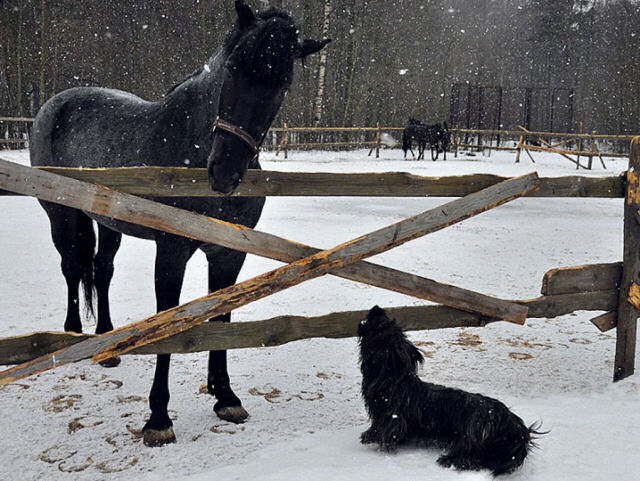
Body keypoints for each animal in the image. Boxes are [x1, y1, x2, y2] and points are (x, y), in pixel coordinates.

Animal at [28, 1, 330, 448]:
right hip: (62, 215)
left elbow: (221, 319)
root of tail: (54, 104)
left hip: (109, 221)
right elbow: (167, 321)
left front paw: (226, 397)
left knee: (102, 269)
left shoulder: (228, 253)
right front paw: (158, 419)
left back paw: (109, 343)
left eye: (283, 82)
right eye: (234, 67)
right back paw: (74, 335)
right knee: (71, 268)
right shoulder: (171, 251)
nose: (224, 172)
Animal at [360, 306, 540, 474]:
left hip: (472, 432)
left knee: (469, 457)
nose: (376, 308)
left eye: (382, 323)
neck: (393, 380)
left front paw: (370, 437)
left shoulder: (392, 418)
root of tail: (515, 427)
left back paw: (448, 460)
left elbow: (384, 431)